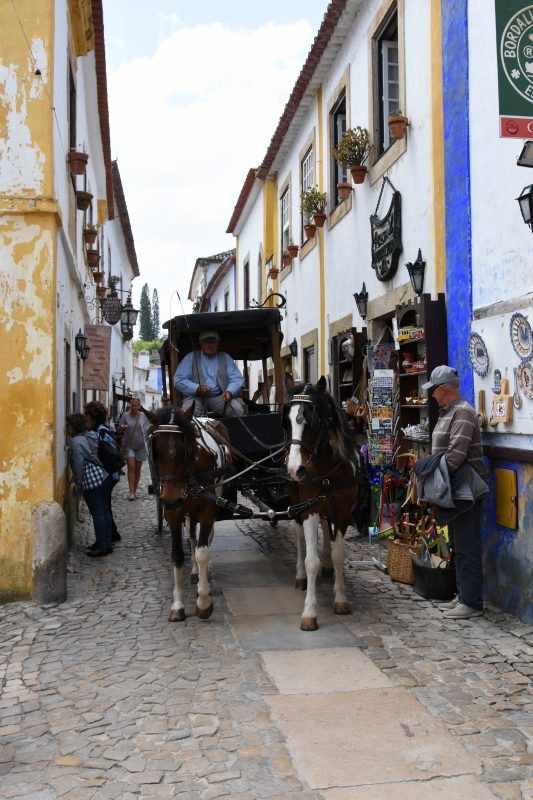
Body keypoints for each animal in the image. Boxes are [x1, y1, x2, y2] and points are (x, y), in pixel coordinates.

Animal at [151, 406, 232, 620]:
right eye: (155, 451)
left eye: (186, 449)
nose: (171, 499)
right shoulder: (174, 514)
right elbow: (177, 555)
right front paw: (177, 605)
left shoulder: (208, 509)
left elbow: (203, 552)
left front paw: (203, 602)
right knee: (192, 536)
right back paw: (195, 572)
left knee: (204, 539)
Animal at [282, 376, 362, 632]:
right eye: (286, 421)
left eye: (314, 420)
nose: (294, 469)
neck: (328, 469)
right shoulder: (310, 509)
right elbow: (311, 561)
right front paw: (309, 613)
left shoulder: (343, 512)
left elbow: (338, 555)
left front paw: (341, 599)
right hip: (297, 502)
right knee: (299, 536)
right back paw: (300, 577)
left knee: (327, 531)